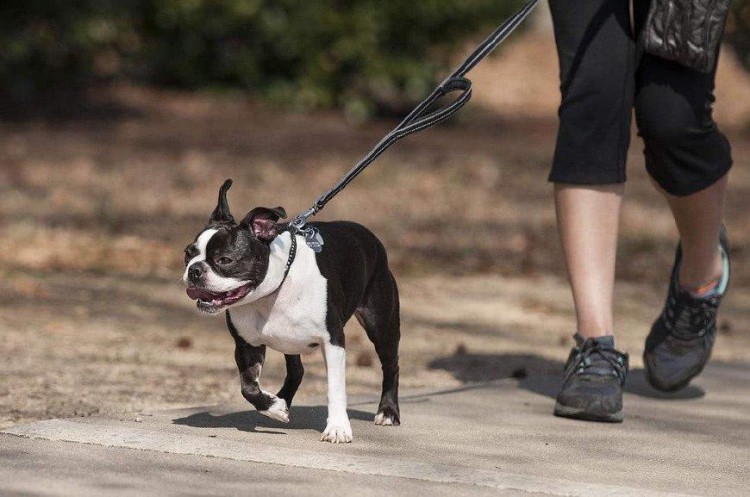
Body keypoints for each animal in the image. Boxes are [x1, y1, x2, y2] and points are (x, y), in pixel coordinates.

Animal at [183, 180, 402, 444]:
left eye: (225, 260)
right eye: (187, 253)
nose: (194, 270)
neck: (271, 293)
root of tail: (369, 236)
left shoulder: (333, 341)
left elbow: (335, 388)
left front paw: (338, 427)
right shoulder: (246, 345)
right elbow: (248, 386)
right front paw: (274, 407)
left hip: (380, 325)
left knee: (391, 365)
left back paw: (388, 411)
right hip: (290, 341)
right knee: (297, 370)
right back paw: (281, 400)